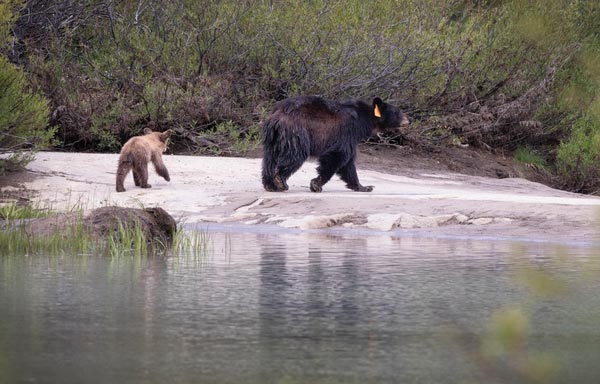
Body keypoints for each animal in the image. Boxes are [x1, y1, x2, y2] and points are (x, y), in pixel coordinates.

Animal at [262, 96, 408, 192]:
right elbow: (339, 156)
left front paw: (364, 186)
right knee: (295, 156)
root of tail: (277, 116)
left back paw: (269, 184)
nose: (408, 120)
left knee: (269, 159)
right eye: (397, 112)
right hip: (296, 133)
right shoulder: (346, 132)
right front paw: (316, 184)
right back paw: (280, 182)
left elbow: (349, 164)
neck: (363, 120)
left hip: (272, 138)